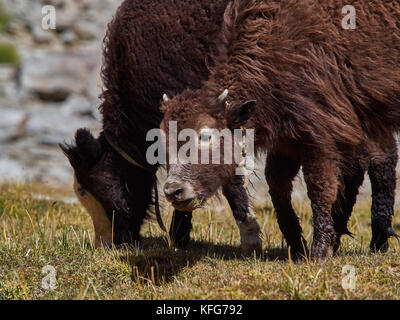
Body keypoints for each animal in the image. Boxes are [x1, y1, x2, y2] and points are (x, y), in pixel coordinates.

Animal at [162, 0, 400, 260]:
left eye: (205, 135)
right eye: (163, 140)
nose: (173, 191)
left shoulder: (321, 137)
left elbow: (320, 187)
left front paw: (319, 250)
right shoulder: (286, 140)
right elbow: (277, 186)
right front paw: (297, 247)